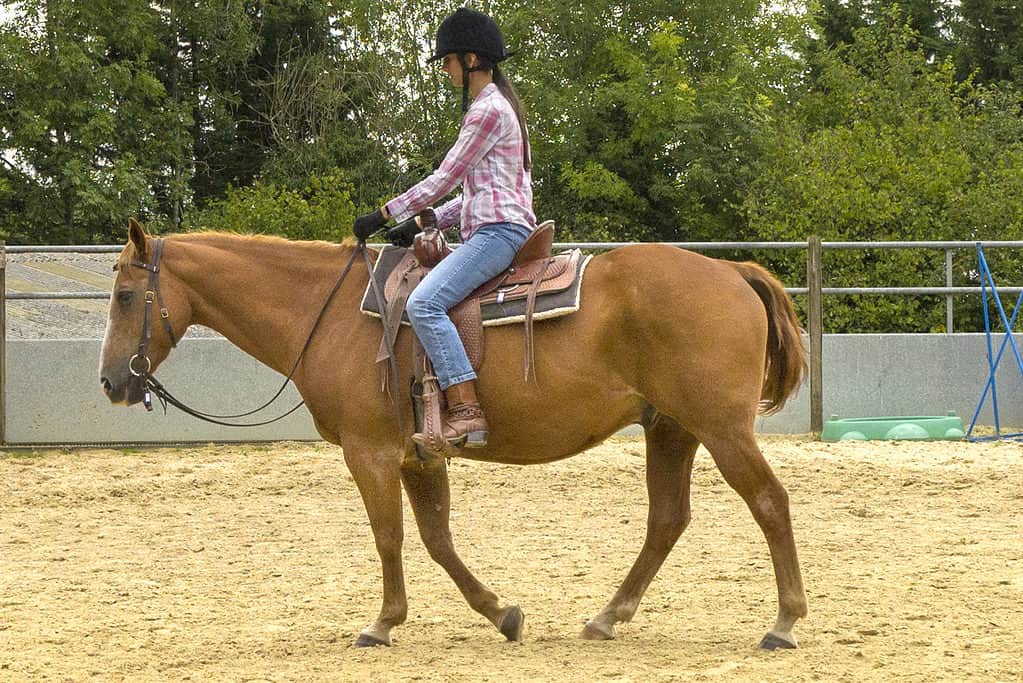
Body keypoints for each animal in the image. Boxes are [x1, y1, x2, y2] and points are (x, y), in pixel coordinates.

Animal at [99, 218, 808, 650]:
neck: (329, 313)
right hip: (672, 430)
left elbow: (389, 537)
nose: (110, 382)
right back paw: (608, 616)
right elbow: (437, 540)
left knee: (770, 504)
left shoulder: (370, 453)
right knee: (667, 520)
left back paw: (784, 622)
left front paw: (382, 624)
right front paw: (502, 613)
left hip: (722, 430)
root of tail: (733, 272)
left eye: (126, 297)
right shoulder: (419, 456)